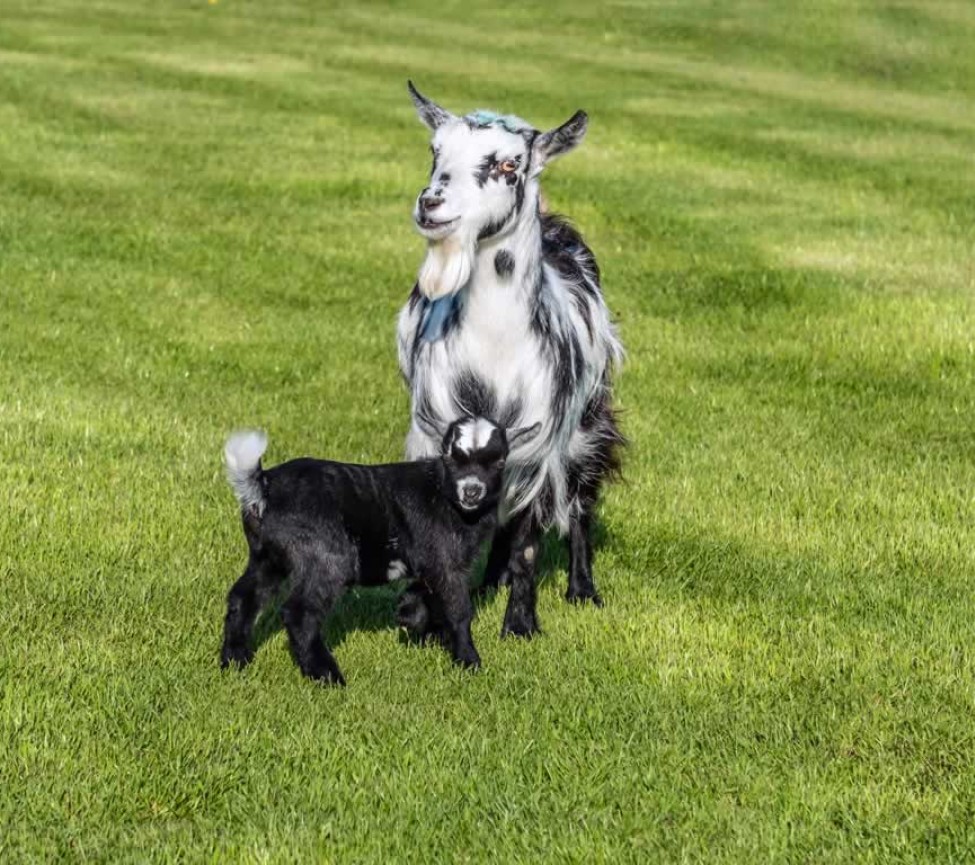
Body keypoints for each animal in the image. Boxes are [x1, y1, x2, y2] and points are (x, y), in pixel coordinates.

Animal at [220, 416, 536, 684]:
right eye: (450, 457)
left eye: (499, 461)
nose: (471, 491)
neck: (442, 493)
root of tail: (263, 487)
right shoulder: (446, 561)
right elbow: (458, 611)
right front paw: (469, 662)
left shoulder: (430, 564)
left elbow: (424, 596)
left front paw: (412, 620)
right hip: (326, 556)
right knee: (299, 612)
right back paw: (327, 676)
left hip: (267, 557)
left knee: (243, 598)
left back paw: (235, 660)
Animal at [396, 82, 624, 636]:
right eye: (435, 151)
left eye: (506, 165)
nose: (431, 204)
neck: (494, 351)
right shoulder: (435, 432)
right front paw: (421, 616)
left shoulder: (540, 444)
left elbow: (528, 542)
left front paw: (520, 625)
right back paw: (489, 582)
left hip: (590, 423)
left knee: (581, 502)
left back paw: (582, 590)